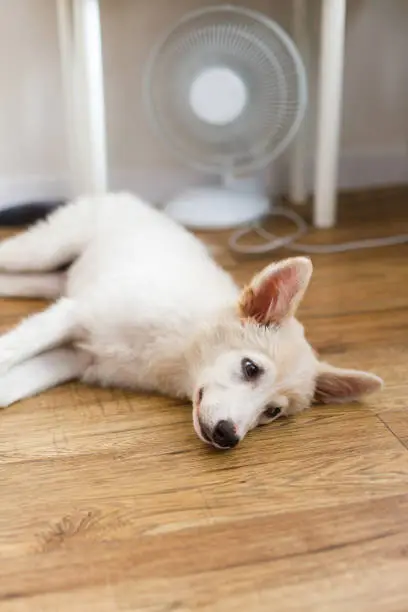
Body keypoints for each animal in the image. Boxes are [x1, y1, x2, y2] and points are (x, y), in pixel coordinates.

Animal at [0, 194, 384, 448]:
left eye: (272, 412)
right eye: (250, 368)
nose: (228, 437)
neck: (179, 346)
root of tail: (127, 196)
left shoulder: (77, 357)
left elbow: (16, 383)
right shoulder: (75, 314)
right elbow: (11, 351)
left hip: (51, 279)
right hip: (44, 250)